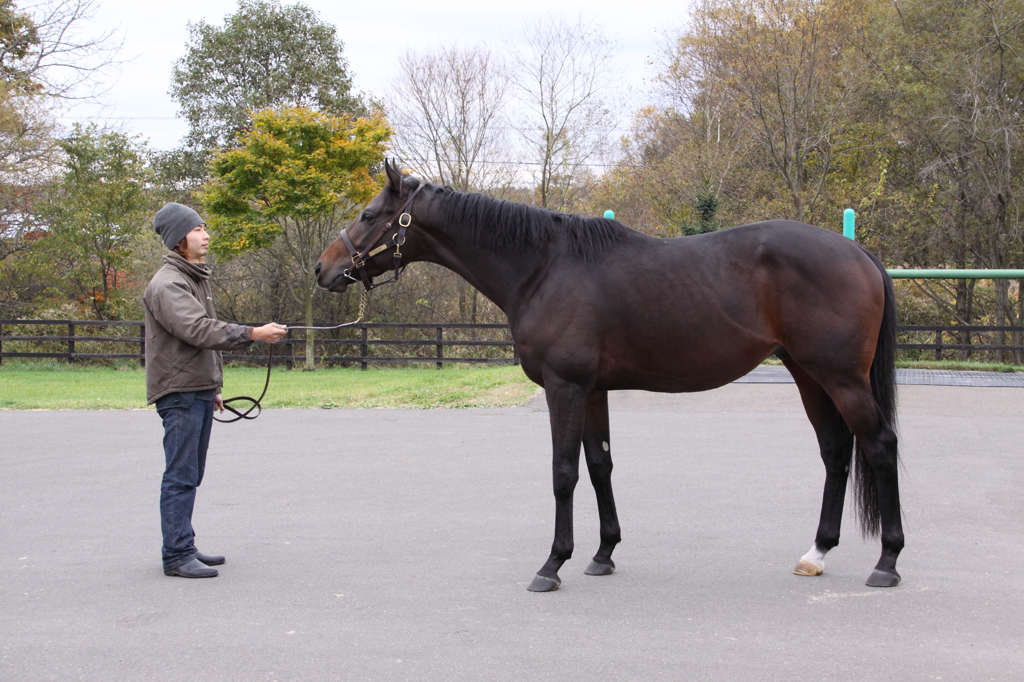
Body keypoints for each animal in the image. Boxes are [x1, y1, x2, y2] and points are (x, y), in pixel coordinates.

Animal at [313, 160, 905, 589]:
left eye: (369, 214)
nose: (323, 268)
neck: (543, 268)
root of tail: (859, 253)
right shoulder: (593, 390)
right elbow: (600, 466)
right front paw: (602, 554)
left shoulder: (565, 388)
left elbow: (563, 473)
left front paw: (552, 564)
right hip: (808, 374)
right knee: (835, 451)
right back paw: (816, 552)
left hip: (841, 377)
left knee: (878, 445)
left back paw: (887, 562)